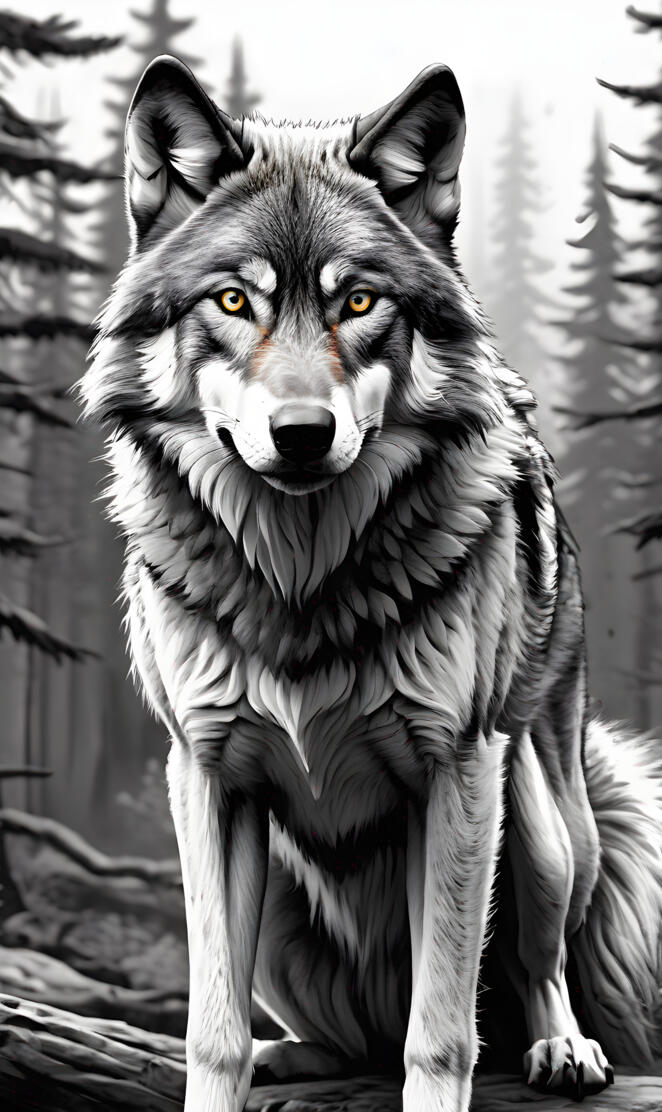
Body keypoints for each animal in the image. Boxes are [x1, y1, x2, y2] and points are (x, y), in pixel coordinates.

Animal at [82, 55, 662, 1112]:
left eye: (358, 304)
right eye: (234, 303)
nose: (302, 435)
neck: (301, 578)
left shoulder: (458, 770)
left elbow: (441, 1034)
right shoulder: (207, 775)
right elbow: (211, 1030)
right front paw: (225, 1069)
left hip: (543, 821)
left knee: (528, 971)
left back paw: (561, 1049)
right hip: (279, 895)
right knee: (348, 1038)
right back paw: (292, 1056)